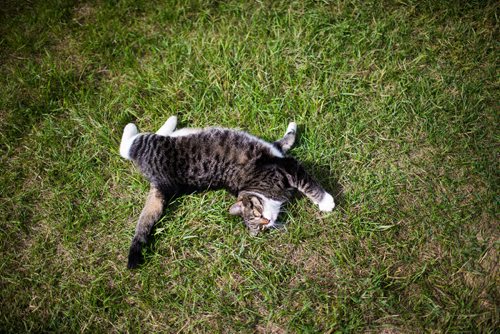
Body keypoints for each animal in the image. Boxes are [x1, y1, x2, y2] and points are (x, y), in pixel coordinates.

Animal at [119, 115, 334, 268]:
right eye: (258, 226)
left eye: (258, 217)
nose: (267, 221)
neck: (256, 188)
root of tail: (160, 183)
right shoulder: (285, 166)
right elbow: (308, 184)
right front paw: (326, 202)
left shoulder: (277, 154)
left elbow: (286, 141)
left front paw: (292, 127)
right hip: (149, 144)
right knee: (128, 146)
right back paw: (140, 124)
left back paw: (171, 124)